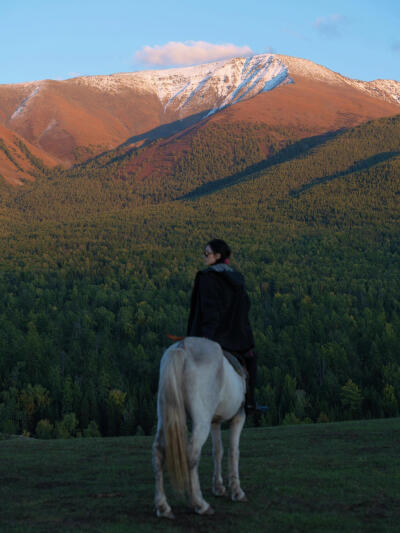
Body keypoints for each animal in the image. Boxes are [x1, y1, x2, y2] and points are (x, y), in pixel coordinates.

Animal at [152, 336, 247, 516]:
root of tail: (182, 346)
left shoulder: (215, 422)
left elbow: (218, 451)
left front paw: (218, 487)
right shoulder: (238, 417)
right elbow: (234, 451)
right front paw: (237, 491)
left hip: (165, 414)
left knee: (159, 451)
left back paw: (163, 506)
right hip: (201, 421)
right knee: (192, 454)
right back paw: (200, 504)